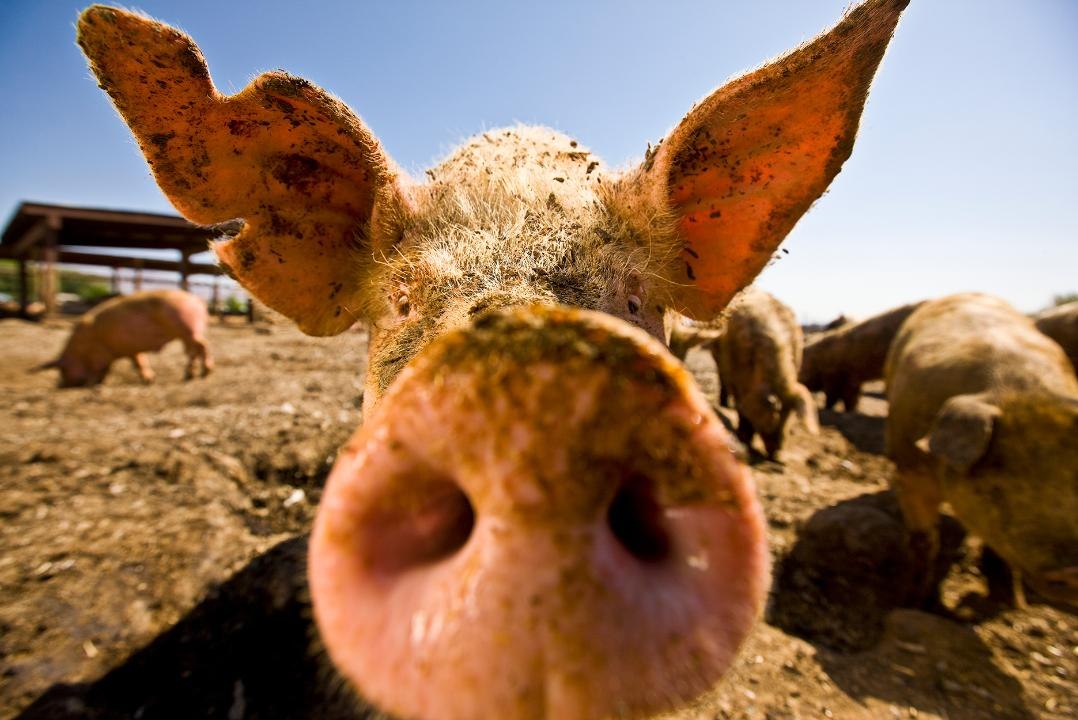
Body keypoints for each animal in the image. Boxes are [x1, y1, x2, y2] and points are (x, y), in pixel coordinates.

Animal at [35, 288, 212, 387]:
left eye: (63, 370)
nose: (60, 385)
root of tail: (197, 299)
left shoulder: (102, 351)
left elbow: (107, 367)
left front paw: (95, 383)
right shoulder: (131, 348)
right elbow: (139, 361)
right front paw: (150, 380)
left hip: (187, 328)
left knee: (202, 346)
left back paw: (204, 373)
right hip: (187, 332)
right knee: (194, 350)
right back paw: (192, 375)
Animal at [711, 287, 818, 460]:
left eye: (789, 417)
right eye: (773, 419)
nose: (776, 454)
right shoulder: (737, 378)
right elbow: (742, 409)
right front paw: (744, 441)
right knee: (722, 380)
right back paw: (723, 405)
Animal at [885, 293, 1078, 608]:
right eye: (997, 489)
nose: (1072, 571)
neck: (1017, 390)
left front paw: (1010, 605)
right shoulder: (909, 467)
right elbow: (923, 540)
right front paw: (914, 604)